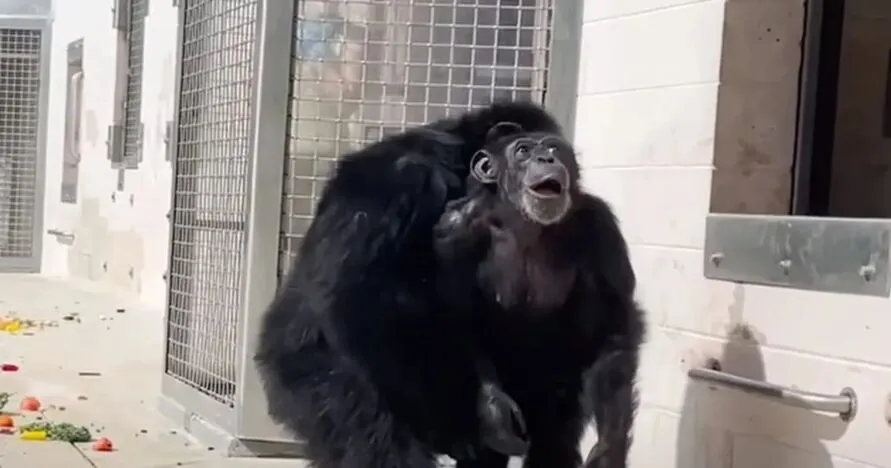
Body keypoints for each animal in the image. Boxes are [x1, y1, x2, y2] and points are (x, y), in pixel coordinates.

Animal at [251, 100, 560, 466]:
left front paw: (491, 408)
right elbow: (356, 298)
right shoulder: (394, 183)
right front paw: (464, 425)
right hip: (314, 383)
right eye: (538, 150)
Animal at [434, 121, 648, 468]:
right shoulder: (452, 231)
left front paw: (609, 448)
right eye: (523, 151)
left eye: (553, 148)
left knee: (555, 442)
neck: (524, 222)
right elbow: (455, 316)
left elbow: (613, 325)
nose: (546, 159)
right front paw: (493, 410)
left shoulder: (601, 226)